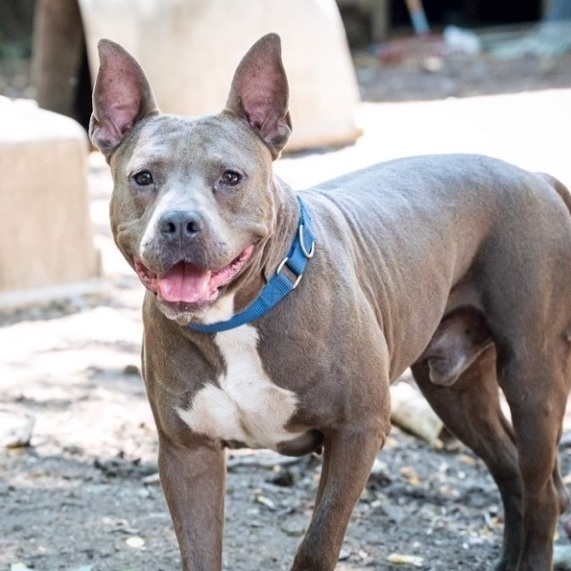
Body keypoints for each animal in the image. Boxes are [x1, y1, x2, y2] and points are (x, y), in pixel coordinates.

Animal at [89, 34, 571, 571]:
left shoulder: (358, 430)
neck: (239, 316)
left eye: (231, 177)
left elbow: (317, 543)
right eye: (143, 177)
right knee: (510, 470)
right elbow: (199, 552)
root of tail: (534, 176)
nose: (179, 223)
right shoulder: (187, 452)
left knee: (543, 488)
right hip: (454, 387)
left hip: (532, 373)